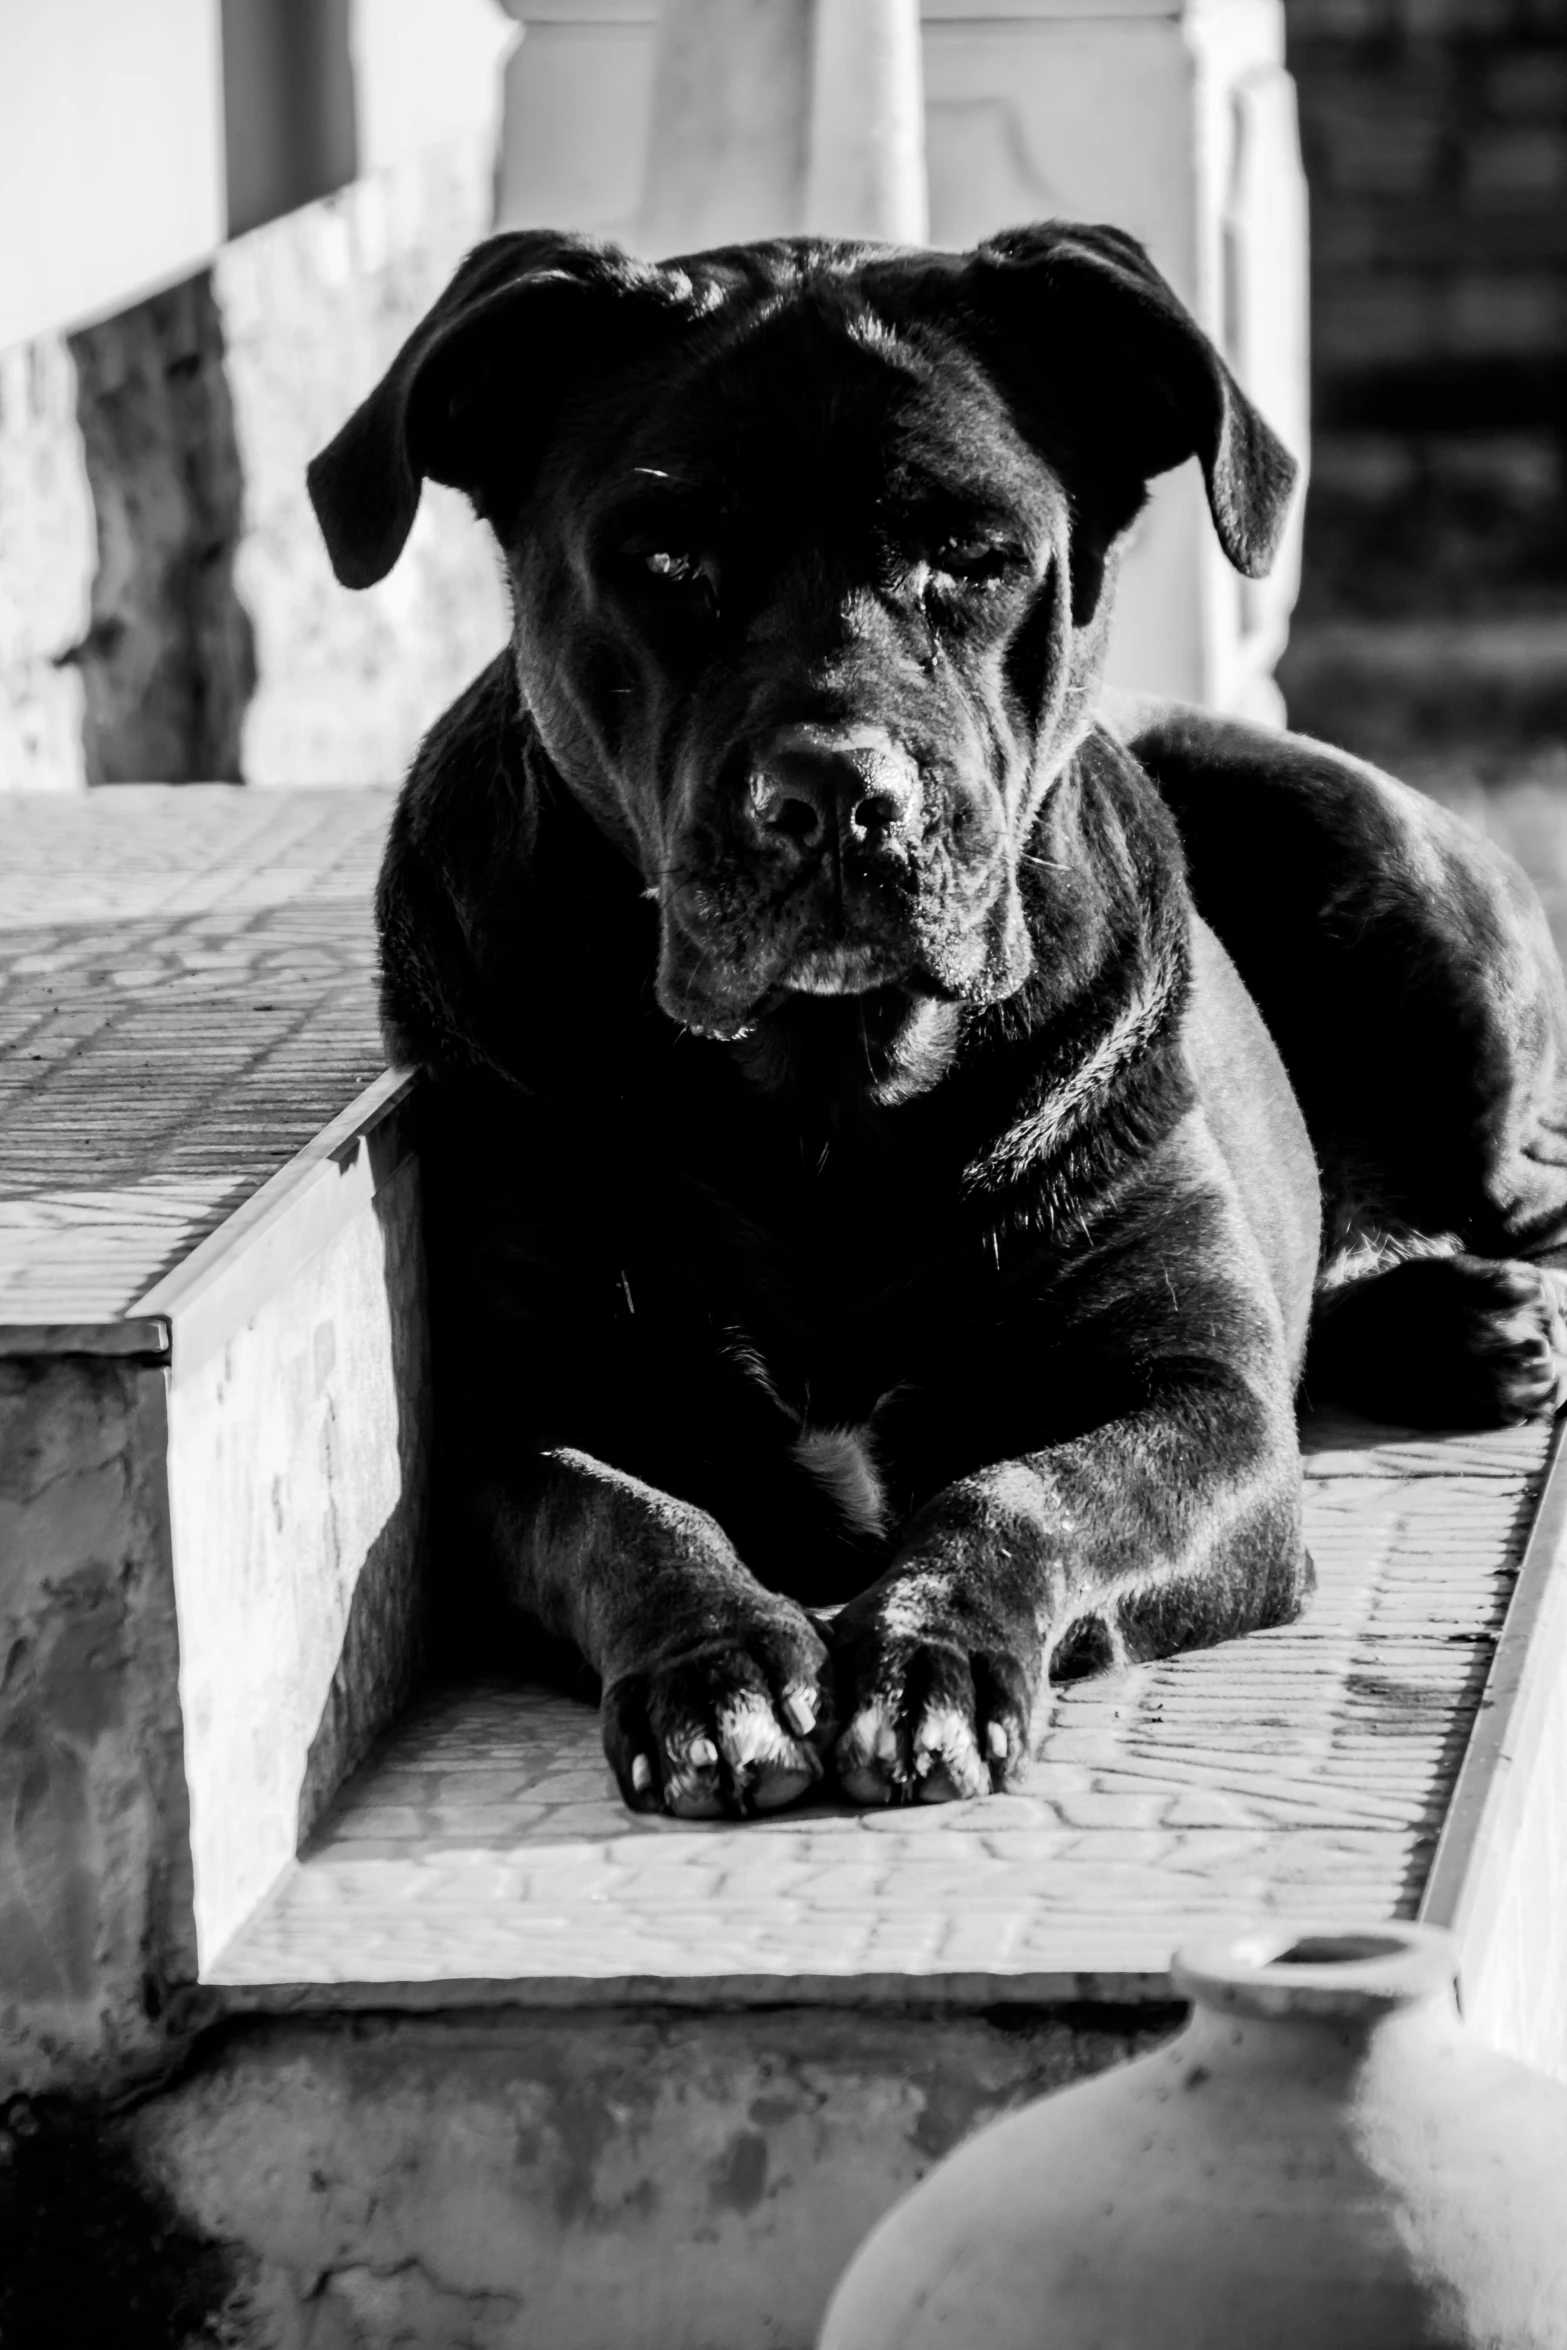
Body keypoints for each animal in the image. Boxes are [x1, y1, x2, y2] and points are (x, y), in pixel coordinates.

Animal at [305, 224, 1567, 1814]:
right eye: (666, 559)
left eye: (973, 557)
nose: (839, 792)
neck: (828, 1101)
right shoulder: (514, 1414)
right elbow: (623, 1513)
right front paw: (718, 1672)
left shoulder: (1196, 1399)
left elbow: (1024, 1486)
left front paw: (925, 1656)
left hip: (1386, 875)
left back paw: (1484, 1311)